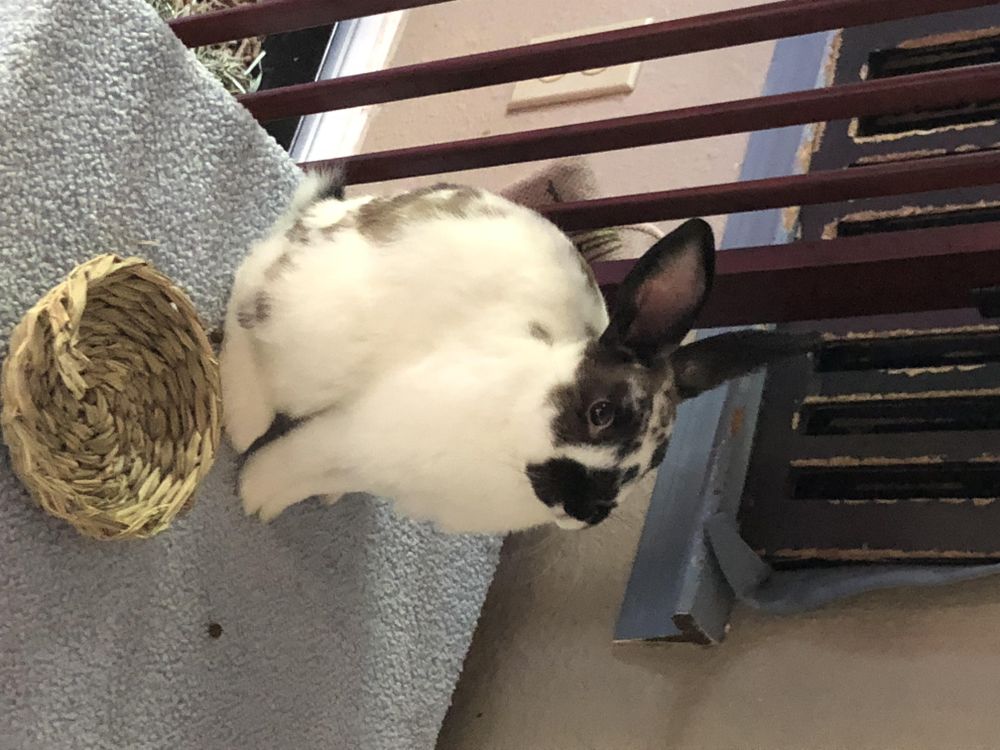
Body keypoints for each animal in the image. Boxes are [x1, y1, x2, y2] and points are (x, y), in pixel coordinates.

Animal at [221, 171, 818, 534]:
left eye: (654, 463)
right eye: (601, 413)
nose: (587, 510)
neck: (510, 438)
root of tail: (322, 217)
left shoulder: (368, 464)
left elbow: (318, 472)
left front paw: (274, 498)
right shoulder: (359, 433)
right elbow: (298, 458)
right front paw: (254, 497)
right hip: (310, 331)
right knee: (247, 289)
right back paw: (243, 420)